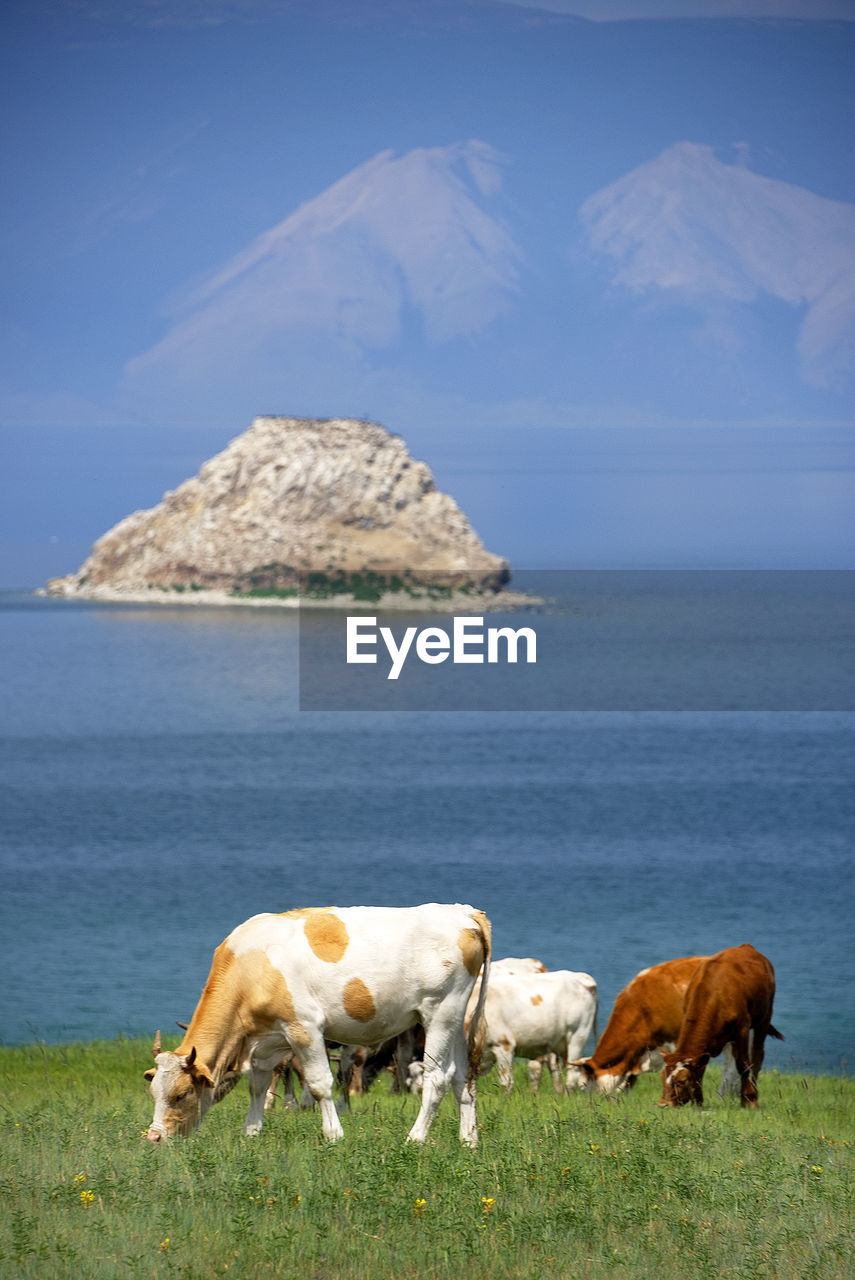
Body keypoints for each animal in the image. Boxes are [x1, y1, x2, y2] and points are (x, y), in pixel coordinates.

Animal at [144, 901, 491, 1152]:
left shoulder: (304, 1027)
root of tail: (463, 911)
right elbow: (257, 1085)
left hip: (439, 1012)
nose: (154, 1137)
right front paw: (251, 1133)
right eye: (153, 1093)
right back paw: (469, 1140)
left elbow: (320, 1083)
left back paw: (415, 1138)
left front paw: (334, 1135)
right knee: (462, 1076)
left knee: (438, 1077)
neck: (250, 965)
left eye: (180, 1095)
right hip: (457, 1019)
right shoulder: (265, 1041)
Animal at [660, 942, 783, 1111]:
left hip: (763, 1018)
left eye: (681, 1081)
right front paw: (698, 1101)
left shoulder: (742, 1029)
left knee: (757, 1057)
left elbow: (743, 1064)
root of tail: (747, 947)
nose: (663, 1104)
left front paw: (750, 1100)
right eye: (662, 1077)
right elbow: (702, 1067)